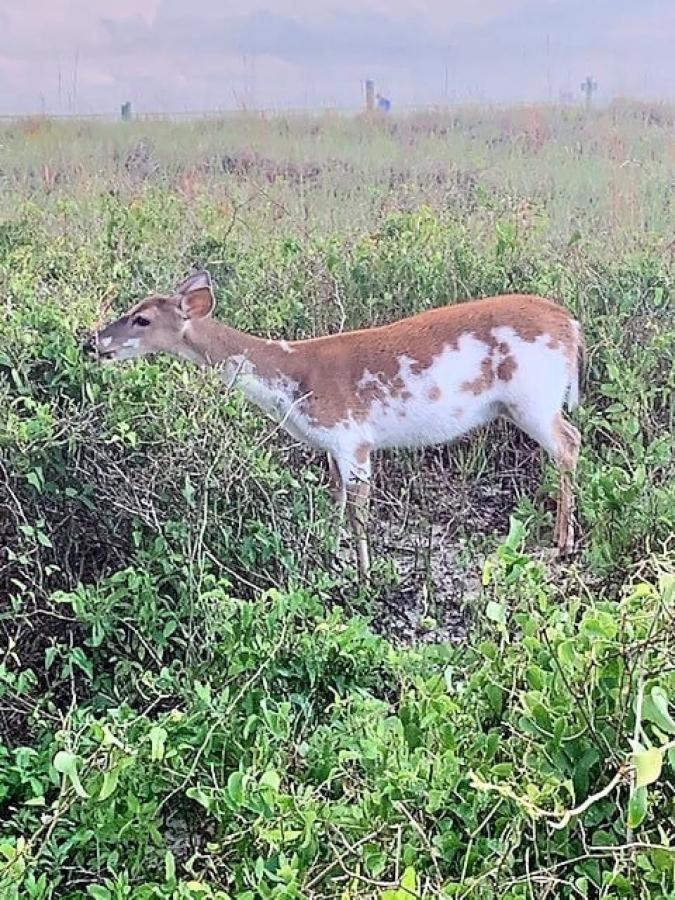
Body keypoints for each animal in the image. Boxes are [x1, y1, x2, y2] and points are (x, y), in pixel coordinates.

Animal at [87, 270, 588, 580]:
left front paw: (365, 575)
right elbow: (336, 501)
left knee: (569, 442)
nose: (96, 341)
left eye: (142, 318)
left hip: (532, 398)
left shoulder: (353, 438)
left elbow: (359, 510)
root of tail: (571, 324)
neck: (290, 380)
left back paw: (561, 543)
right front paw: (330, 554)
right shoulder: (329, 445)